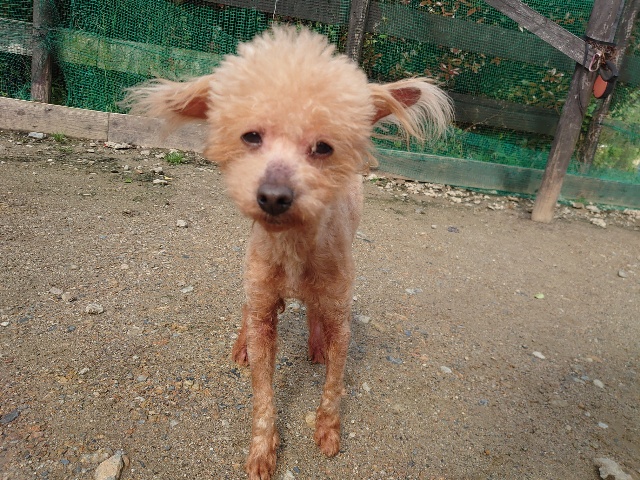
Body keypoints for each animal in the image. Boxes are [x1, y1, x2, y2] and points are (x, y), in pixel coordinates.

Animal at [127, 26, 451, 480]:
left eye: (324, 147)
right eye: (250, 136)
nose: (273, 196)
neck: (295, 246)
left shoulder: (340, 312)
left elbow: (334, 383)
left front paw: (328, 432)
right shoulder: (264, 303)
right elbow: (263, 390)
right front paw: (263, 451)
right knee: (246, 307)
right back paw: (242, 346)